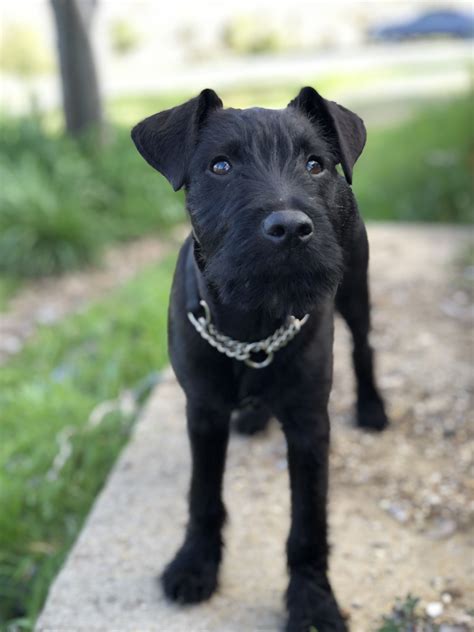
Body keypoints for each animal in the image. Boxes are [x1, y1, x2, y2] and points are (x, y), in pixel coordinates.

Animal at [132, 85, 388, 632]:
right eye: (221, 166)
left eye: (315, 164)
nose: (290, 227)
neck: (251, 325)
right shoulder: (203, 412)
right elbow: (203, 496)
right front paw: (195, 564)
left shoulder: (309, 425)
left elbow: (308, 523)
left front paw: (312, 604)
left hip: (356, 287)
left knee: (364, 346)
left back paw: (372, 407)